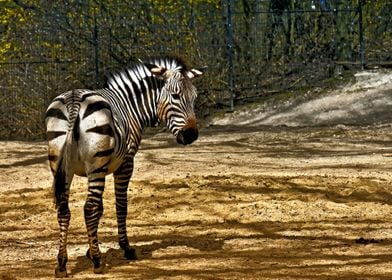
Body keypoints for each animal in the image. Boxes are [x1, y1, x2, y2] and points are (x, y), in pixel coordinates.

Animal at [46, 55, 204, 276]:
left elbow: (101, 209)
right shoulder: (125, 163)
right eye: (175, 96)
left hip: (61, 165)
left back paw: (61, 264)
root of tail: (74, 101)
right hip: (95, 165)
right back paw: (97, 262)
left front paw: (90, 250)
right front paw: (124, 248)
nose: (191, 136)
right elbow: (120, 205)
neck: (131, 106)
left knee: (64, 209)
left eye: (194, 98)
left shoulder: (98, 168)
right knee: (88, 208)